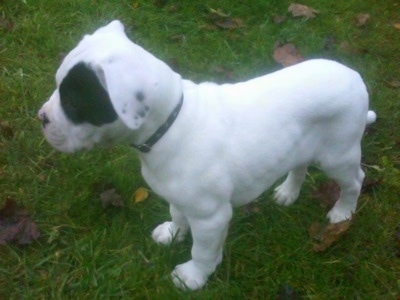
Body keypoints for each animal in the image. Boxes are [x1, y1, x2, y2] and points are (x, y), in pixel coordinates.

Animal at [37, 19, 376, 290]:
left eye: (75, 105)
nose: (41, 117)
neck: (170, 124)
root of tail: (355, 77)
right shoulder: (179, 196)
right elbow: (177, 213)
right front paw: (173, 233)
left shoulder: (211, 217)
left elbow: (202, 250)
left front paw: (192, 277)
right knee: (300, 165)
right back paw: (288, 192)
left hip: (338, 154)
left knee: (354, 180)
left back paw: (342, 213)